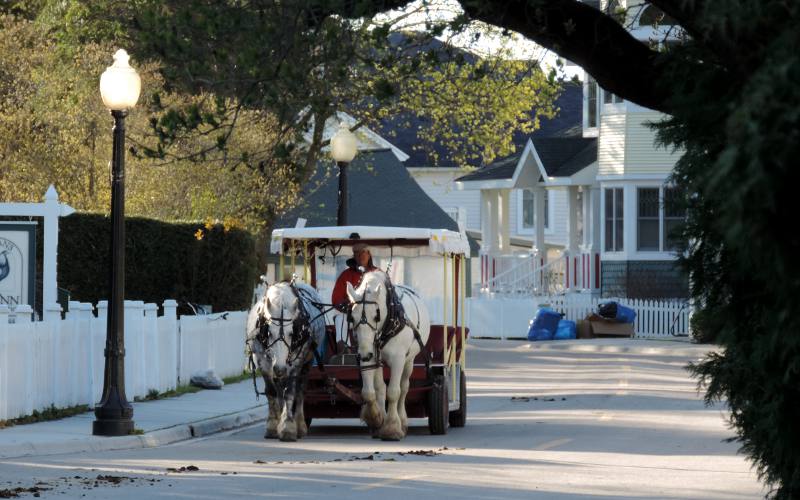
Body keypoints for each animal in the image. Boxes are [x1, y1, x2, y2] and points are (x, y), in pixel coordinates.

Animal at [248, 282, 326, 442]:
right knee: (279, 391)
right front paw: (273, 425)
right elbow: (271, 392)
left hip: (307, 363)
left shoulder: (295, 363)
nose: (280, 368)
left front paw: (288, 427)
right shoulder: (262, 360)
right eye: (268, 332)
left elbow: (290, 393)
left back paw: (300, 425)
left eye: (292, 333)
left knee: (300, 391)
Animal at [346, 272, 428, 440]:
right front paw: (376, 419)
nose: (365, 355)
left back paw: (402, 421)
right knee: (383, 387)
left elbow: (394, 392)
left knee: (404, 388)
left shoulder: (398, 359)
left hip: (409, 361)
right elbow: (371, 391)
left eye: (375, 317)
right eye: (352, 318)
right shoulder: (369, 353)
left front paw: (391, 427)